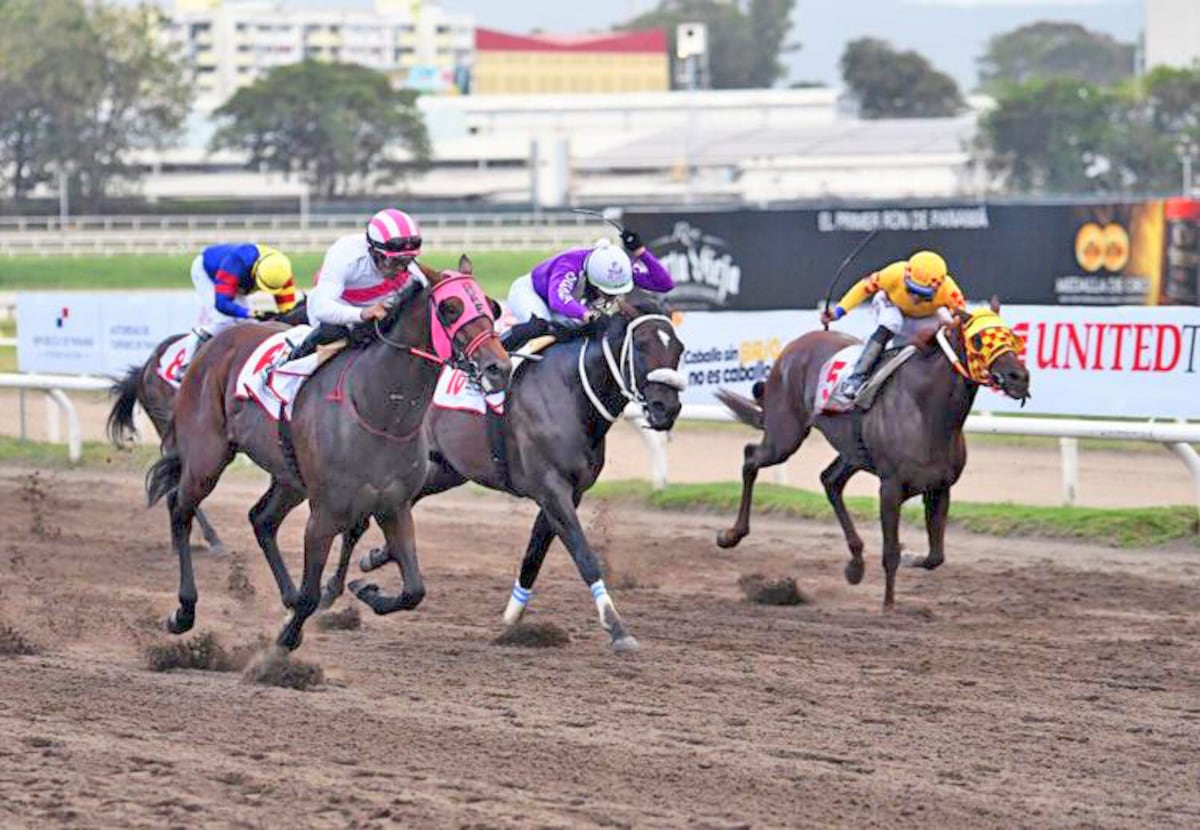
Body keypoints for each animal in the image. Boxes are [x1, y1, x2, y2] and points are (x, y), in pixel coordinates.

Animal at [146, 257, 511, 647]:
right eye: (450, 308)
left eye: (490, 307)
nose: (499, 367)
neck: (380, 411)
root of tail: (213, 344)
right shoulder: (324, 514)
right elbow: (311, 594)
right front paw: (284, 641)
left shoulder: (393, 506)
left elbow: (414, 590)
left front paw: (366, 591)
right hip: (207, 458)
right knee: (181, 509)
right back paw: (184, 610)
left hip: (289, 477)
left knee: (261, 519)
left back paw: (285, 595)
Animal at [710, 307, 1032, 606]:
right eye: (978, 340)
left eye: (1012, 336)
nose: (1020, 376)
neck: (926, 409)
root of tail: (794, 346)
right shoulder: (890, 487)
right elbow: (890, 553)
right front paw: (888, 607)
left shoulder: (940, 487)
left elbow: (935, 556)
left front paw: (910, 556)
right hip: (784, 436)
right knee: (751, 458)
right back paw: (731, 535)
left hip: (851, 451)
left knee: (830, 481)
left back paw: (855, 564)